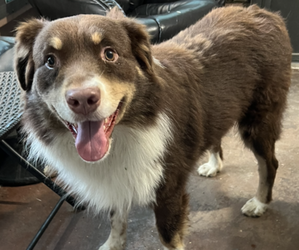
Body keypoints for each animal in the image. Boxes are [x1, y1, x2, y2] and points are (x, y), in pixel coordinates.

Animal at [14, 5, 292, 250]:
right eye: (50, 61)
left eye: (110, 54)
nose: (82, 99)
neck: (128, 129)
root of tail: (264, 13)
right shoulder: (115, 181)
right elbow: (116, 219)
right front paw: (113, 244)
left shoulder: (169, 192)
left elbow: (169, 238)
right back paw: (214, 165)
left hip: (259, 121)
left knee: (269, 163)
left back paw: (259, 203)